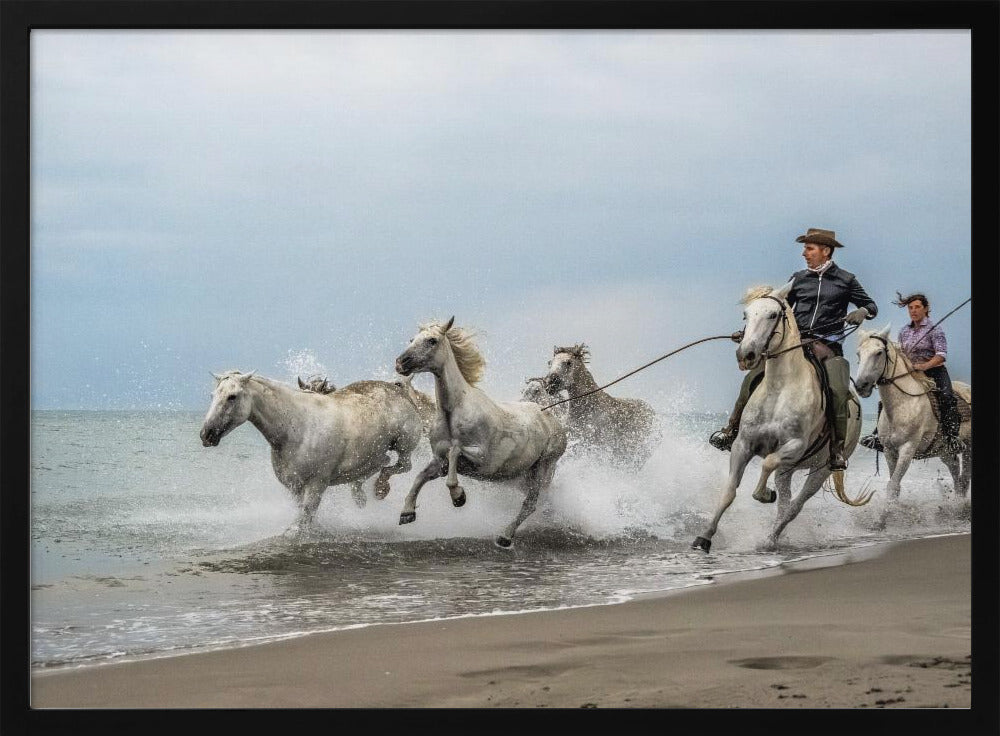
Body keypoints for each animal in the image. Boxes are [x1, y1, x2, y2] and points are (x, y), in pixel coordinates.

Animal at [200, 371, 423, 534]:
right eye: (212, 396)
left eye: (232, 396)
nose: (206, 434)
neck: (297, 427)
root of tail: (397, 389)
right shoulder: (294, 486)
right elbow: (303, 514)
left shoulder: (317, 484)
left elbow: (304, 518)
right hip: (373, 453)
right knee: (378, 465)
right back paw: (362, 495)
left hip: (404, 445)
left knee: (402, 465)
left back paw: (380, 489)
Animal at [394, 317, 568, 549]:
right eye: (412, 339)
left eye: (432, 340)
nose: (401, 363)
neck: (453, 413)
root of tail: (553, 419)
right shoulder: (438, 461)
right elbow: (420, 477)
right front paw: (407, 512)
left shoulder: (482, 459)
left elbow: (455, 452)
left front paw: (458, 496)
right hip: (522, 477)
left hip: (543, 467)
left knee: (531, 504)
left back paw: (505, 537)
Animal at [853, 325, 972, 517]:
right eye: (859, 353)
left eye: (879, 352)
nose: (861, 386)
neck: (904, 403)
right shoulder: (889, 450)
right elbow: (894, 485)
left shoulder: (907, 449)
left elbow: (893, 485)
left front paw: (885, 516)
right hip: (944, 451)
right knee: (955, 470)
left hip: (968, 447)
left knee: (965, 476)